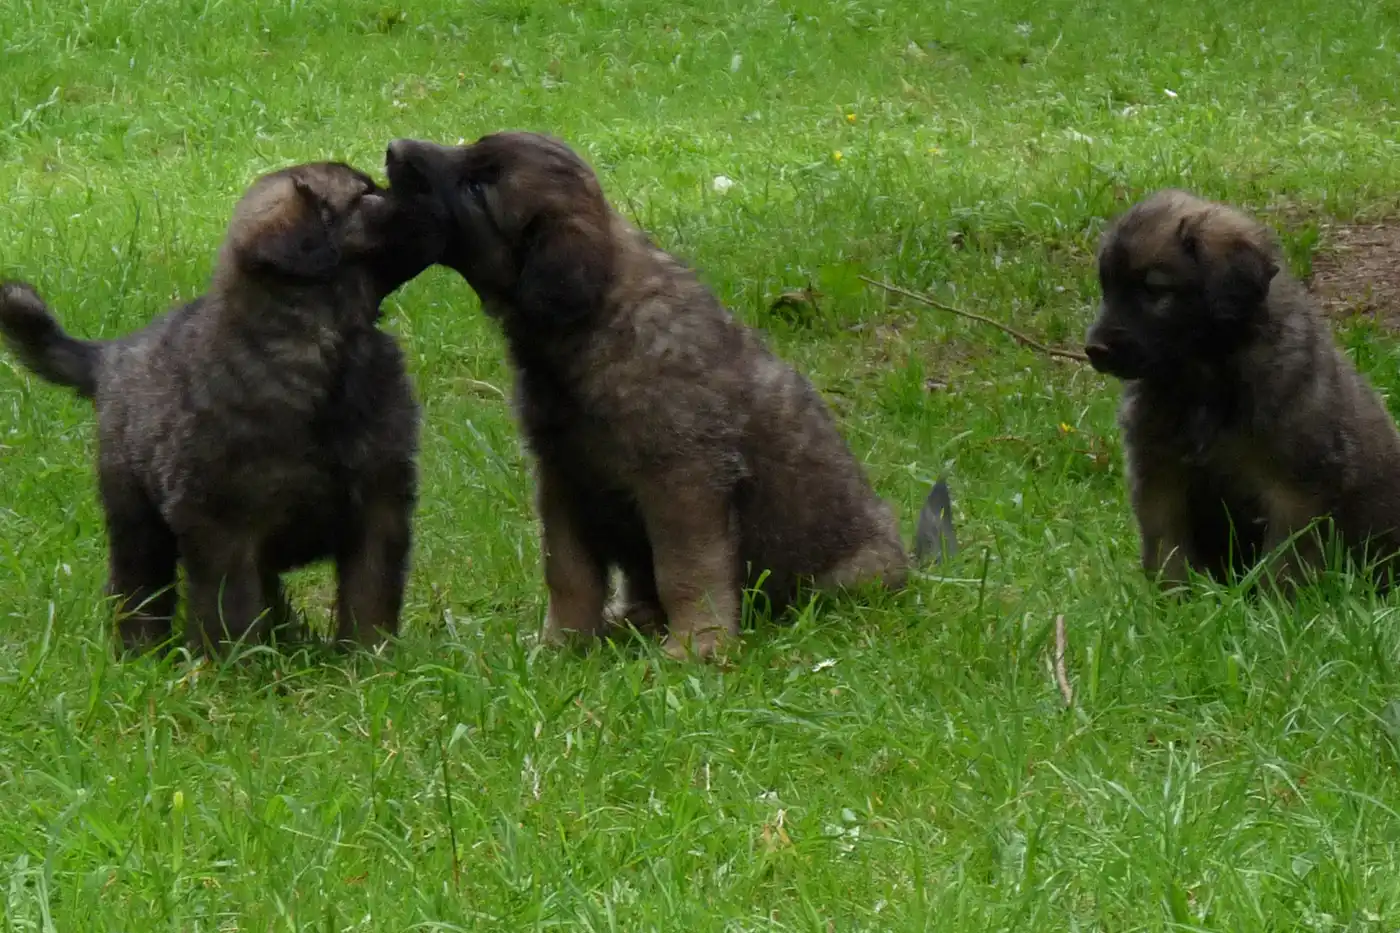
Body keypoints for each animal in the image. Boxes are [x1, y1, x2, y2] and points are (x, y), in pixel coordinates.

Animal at [0, 161, 442, 652]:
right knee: (138, 587)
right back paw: (140, 652)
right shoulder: (223, 527)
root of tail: (113, 354)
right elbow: (231, 609)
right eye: (366, 196)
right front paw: (235, 666)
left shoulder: (379, 508)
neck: (323, 348)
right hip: (134, 513)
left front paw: (368, 657)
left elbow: (369, 596)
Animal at [383, 130, 952, 658]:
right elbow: (567, 574)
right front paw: (562, 645)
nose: (393, 149)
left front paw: (696, 646)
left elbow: (685, 571)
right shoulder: (563, 479)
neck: (597, 321)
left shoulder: (683, 481)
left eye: (478, 188)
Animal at [1086, 187, 1400, 588]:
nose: (1094, 349)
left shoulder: (1294, 490)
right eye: (1106, 288)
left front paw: (1274, 602)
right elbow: (1168, 552)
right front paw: (1171, 598)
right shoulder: (1158, 477)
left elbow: (1282, 564)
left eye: (1154, 289)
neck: (1203, 378)